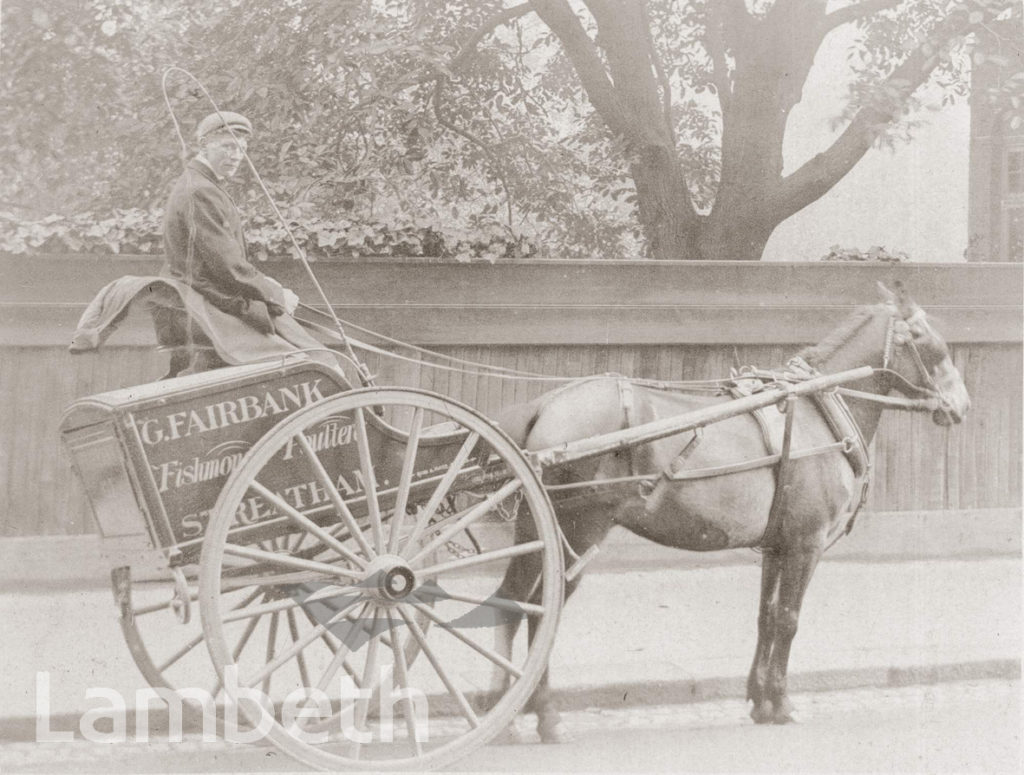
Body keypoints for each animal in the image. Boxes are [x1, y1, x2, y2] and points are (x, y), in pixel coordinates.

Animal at [491, 280, 970, 741]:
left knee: (512, 599)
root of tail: (546, 405)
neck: (815, 409)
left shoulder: (777, 546)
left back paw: (505, 711)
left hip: (535, 528)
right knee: (539, 607)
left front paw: (760, 699)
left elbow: (767, 617)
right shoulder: (806, 544)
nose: (961, 404)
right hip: (577, 530)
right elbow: (789, 620)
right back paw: (544, 714)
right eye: (927, 338)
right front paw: (781, 702)